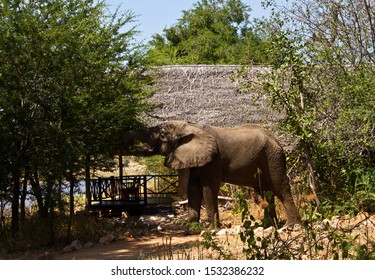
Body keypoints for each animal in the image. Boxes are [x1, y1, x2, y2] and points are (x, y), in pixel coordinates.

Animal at [123, 120, 302, 228]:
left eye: (161, 136)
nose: (128, 140)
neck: (187, 126)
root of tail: (278, 142)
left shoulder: (213, 159)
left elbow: (209, 188)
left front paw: (212, 229)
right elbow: (193, 189)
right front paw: (191, 227)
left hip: (272, 159)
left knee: (280, 188)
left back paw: (291, 226)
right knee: (265, 192)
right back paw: (268, 226)